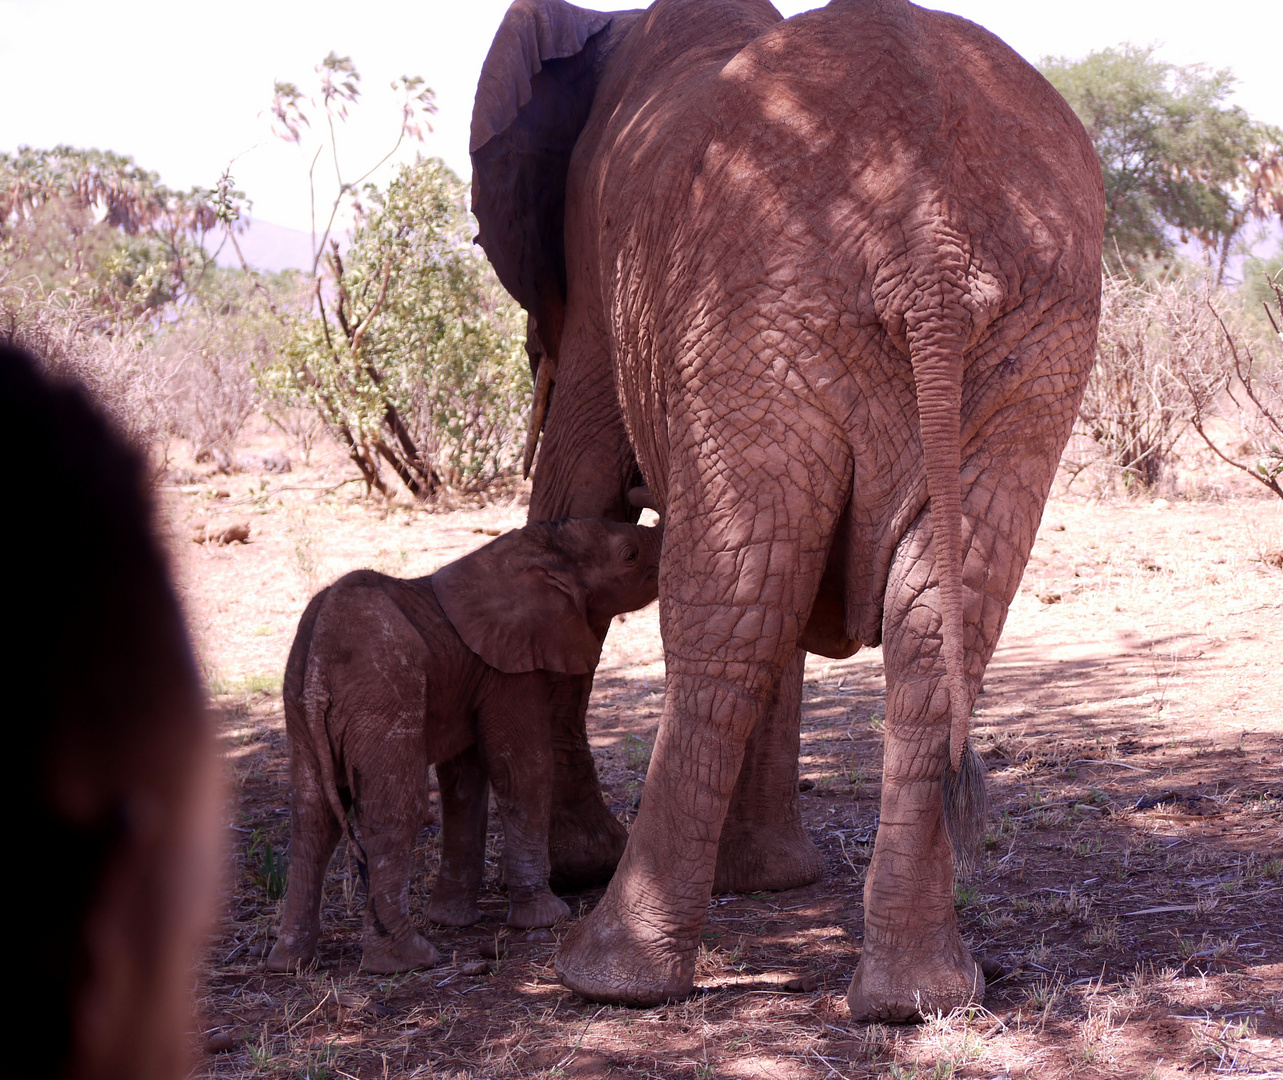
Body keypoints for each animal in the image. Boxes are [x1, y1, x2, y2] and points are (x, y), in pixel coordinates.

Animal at [265, 518, 656, 969]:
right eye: (629, 555)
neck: (530, 550)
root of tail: (317, 664)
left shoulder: (472, 677)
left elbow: (465, 781)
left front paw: (453, 920)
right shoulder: (507, 668)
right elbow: (524, 770)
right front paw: (547, 918)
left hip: (296, 699)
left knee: (312, 816)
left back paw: (289, 963)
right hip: (382, 693)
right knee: (394, 811)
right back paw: (407, 960)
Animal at [472, 0, 1103, 1015]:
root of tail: (933, 250)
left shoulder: (599, 286)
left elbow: (573, 497)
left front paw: (586, 865)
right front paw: (766, 883)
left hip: (755, 306)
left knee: (732, 603)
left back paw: (604, 979)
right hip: (1021, 330)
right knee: (919, 610)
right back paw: (917, 999)